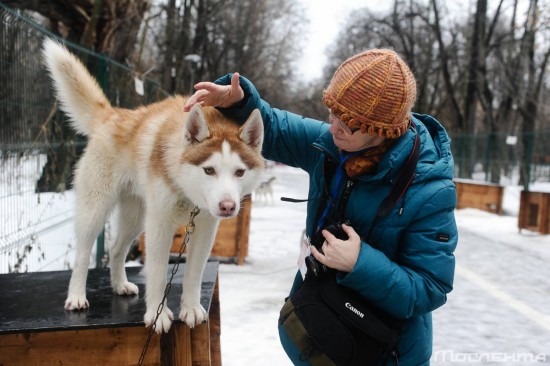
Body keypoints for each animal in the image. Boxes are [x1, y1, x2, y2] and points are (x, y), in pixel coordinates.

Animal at [41, 39, 266, 332]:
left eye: (239, 172)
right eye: (209, 170)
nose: (227, 206)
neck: (187, 193)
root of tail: (113, 115)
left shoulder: (205, 227)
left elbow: (194, 273)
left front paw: (190, 309)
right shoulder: (159, 224)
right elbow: (158, 272)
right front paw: (158, 314)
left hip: (136, 218)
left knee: (116, 249)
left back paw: (120, 285)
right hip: (96, 210)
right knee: (82, 255)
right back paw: (76, 296)